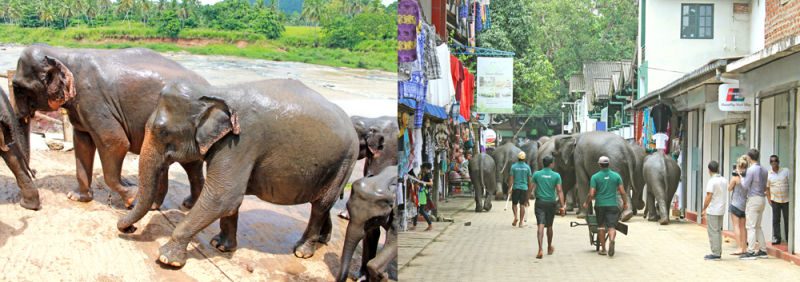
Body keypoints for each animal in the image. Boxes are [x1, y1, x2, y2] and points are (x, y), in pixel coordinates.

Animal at [117, 77, 358, 266]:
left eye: (164, 132)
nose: (129, 228)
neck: (218, 92)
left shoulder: (242, 142)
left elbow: (222, 197)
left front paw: (167, 258)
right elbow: (229, 201)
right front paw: (221, 246)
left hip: (347, 160)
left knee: (321, 206)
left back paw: (302, 252)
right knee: (323, 203)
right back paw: (323, 240)